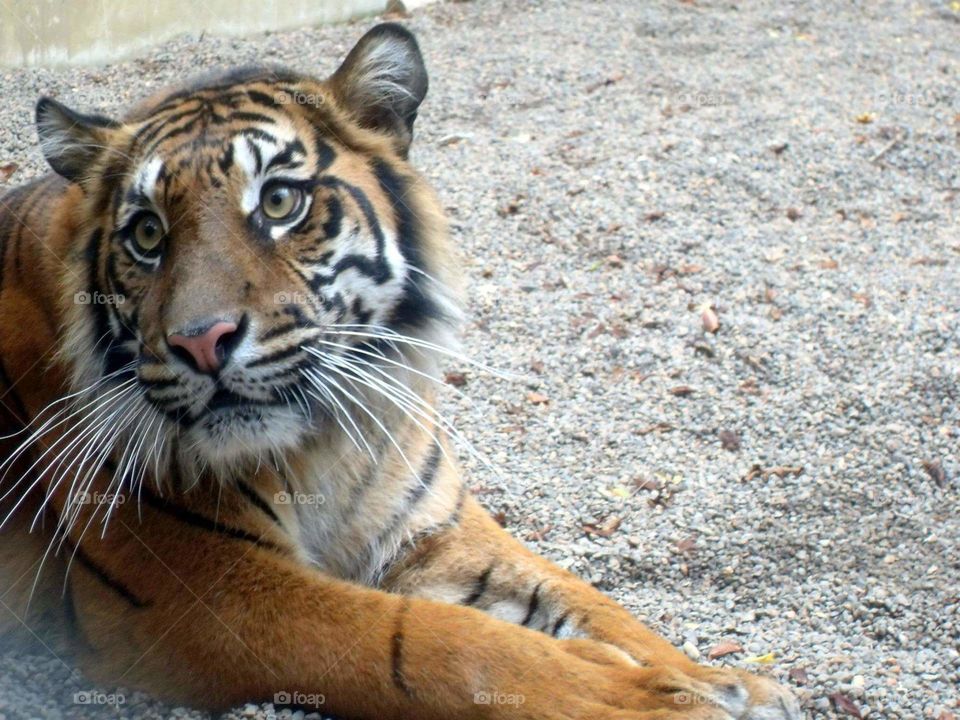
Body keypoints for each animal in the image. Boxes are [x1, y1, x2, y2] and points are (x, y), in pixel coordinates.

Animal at [0, 22, 801, 720]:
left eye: (280, 200)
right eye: (146, 234)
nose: (202, 341)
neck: (323, 439)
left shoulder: (433, 535)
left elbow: (586, 601)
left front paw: (724, 680)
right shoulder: (206, 593)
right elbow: (439, 644)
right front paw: (650, 696)